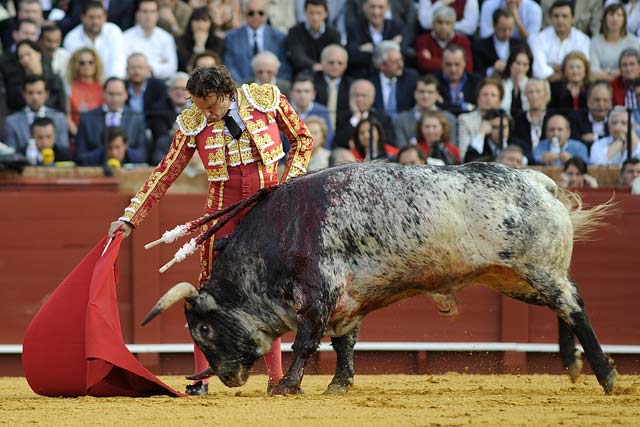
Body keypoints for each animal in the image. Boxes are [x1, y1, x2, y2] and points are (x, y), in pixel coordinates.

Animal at [144, 162, 616, 396]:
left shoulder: (318, 293)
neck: (281, 234)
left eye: (204, 329)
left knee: (574, 305)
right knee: (566, 304)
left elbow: (305, 342)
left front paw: (288, 386)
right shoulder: (347, 302)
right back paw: (572, 366)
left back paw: (604, 374)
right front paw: (339, 385)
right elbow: (344, 342)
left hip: (537, 269)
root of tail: (538, 181)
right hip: (514, 279)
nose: (227, 377)